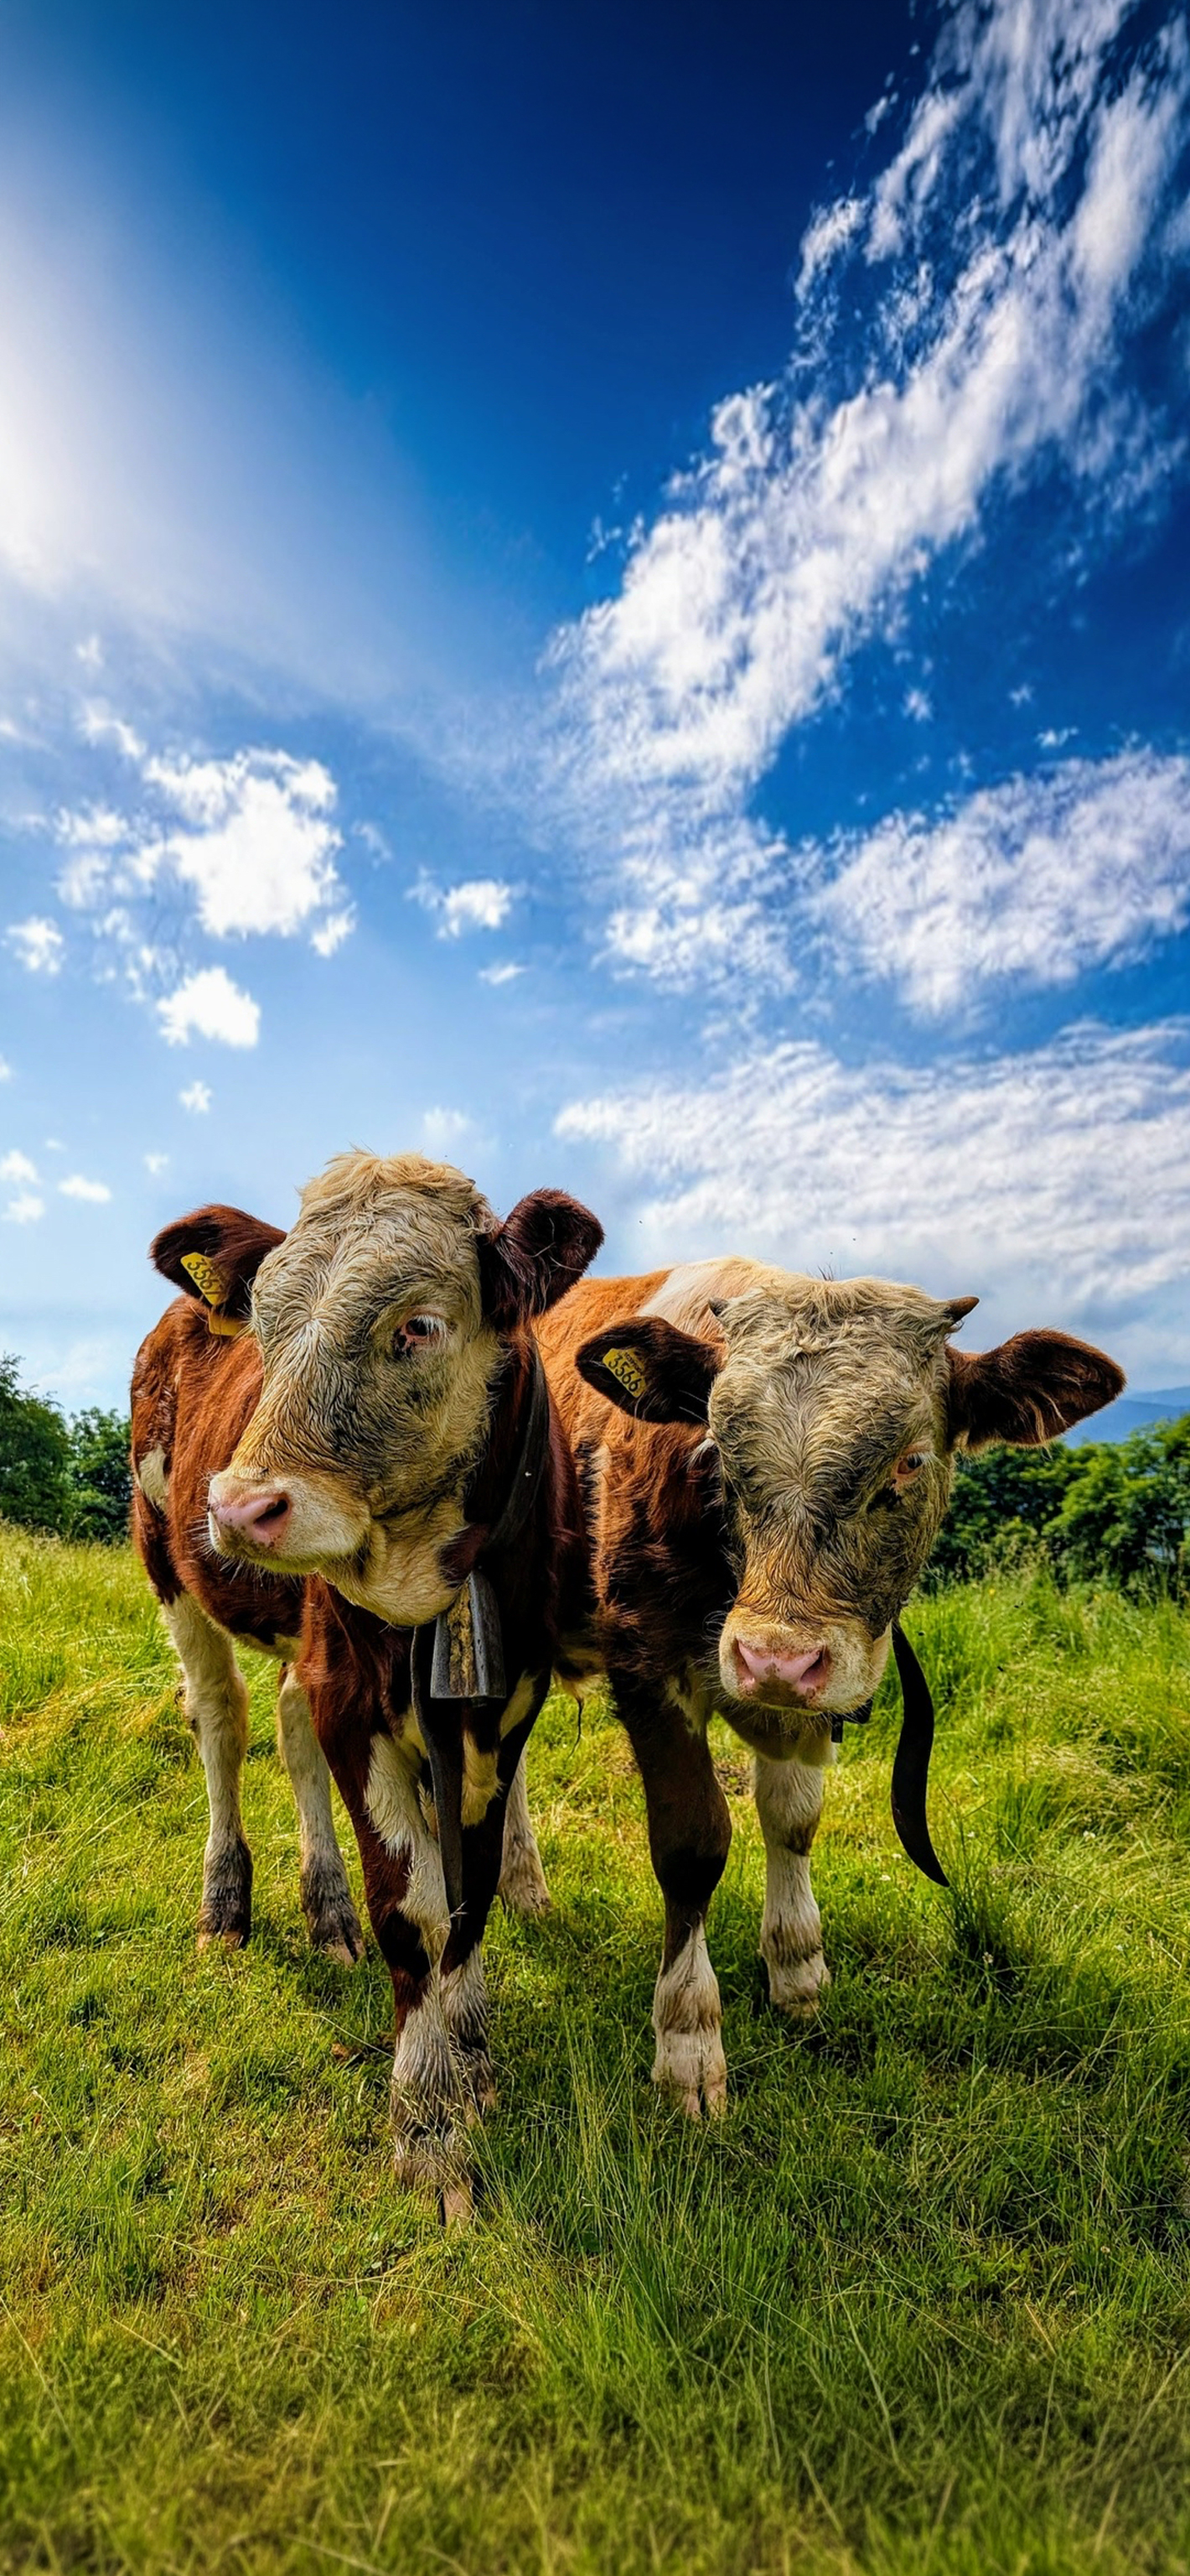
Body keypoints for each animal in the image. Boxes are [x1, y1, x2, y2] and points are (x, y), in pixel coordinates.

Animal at [131, 1153, 603, 2207]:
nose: (241, 1505)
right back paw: (226, 1906)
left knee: (283, 1717)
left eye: (416, 1326)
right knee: (221, 1720)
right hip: (167, 1561)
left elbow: (467, 1889)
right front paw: (429, 2116)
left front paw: (469, 2049)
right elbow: (417, 1907)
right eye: (263, 1321)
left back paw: (326, 1908)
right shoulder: (353, 1698)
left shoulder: (502, 1706)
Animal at [537, 1259, 1124, 2117]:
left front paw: (797, 1968)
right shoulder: (645, 1666)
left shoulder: (813, 1692)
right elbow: (691, 1846)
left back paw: (524, 1896)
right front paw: (688, 2044)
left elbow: (794, 1819)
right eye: (718, 1453)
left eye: (910, 1460)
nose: (775, 1661)